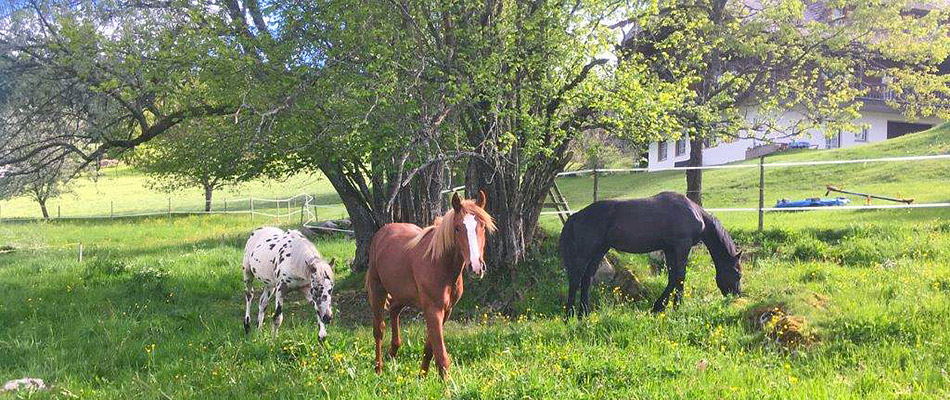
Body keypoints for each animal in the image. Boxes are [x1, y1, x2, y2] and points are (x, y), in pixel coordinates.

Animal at [366, 191, 498, 378]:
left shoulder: (446, 311)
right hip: (378, 290)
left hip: (402, 294)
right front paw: (447, 384)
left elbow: (430, 348)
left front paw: (422, 376)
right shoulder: (433, 310)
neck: (439, 263)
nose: (476, 267)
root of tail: (381, 233)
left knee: (394, 310)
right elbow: (441, 355)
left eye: (483, 227)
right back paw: (378, 368)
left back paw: (392, 352)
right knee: (379, 329)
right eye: (457, 228)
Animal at [556, 191, 744, 316]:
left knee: (586, 279)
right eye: (738, 274)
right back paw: (570, 315)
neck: (694, 213)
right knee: (575, 279)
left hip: (599, 251)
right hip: (584, 252)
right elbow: (680, 277)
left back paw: (584, 313)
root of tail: (575, 216)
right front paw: (677, 307)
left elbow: (672, 277)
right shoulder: (682, 246)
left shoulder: (669, 249)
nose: (736, 295)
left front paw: (659, 307)